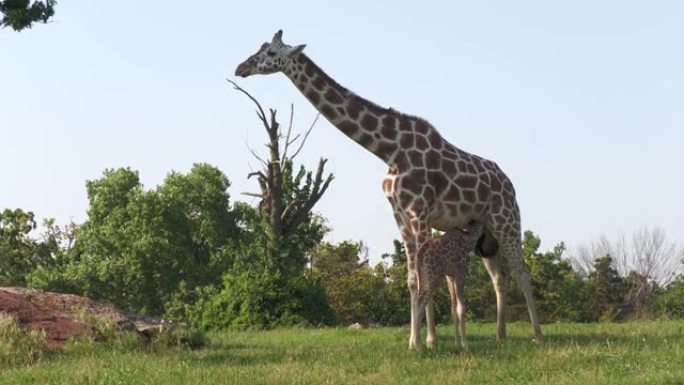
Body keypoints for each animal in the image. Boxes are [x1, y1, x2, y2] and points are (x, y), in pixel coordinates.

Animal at [414, 219, 484, 348]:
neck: (468, 241)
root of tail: (419, 255)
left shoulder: (449, 277)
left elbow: (453, 308)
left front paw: (457, 343)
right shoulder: (460, 273)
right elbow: (461, 307)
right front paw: (465, 344)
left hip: (422, 277)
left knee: (416, 301)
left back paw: (414, 344)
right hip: (432, 277)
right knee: (420, 303)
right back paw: (418, 346)